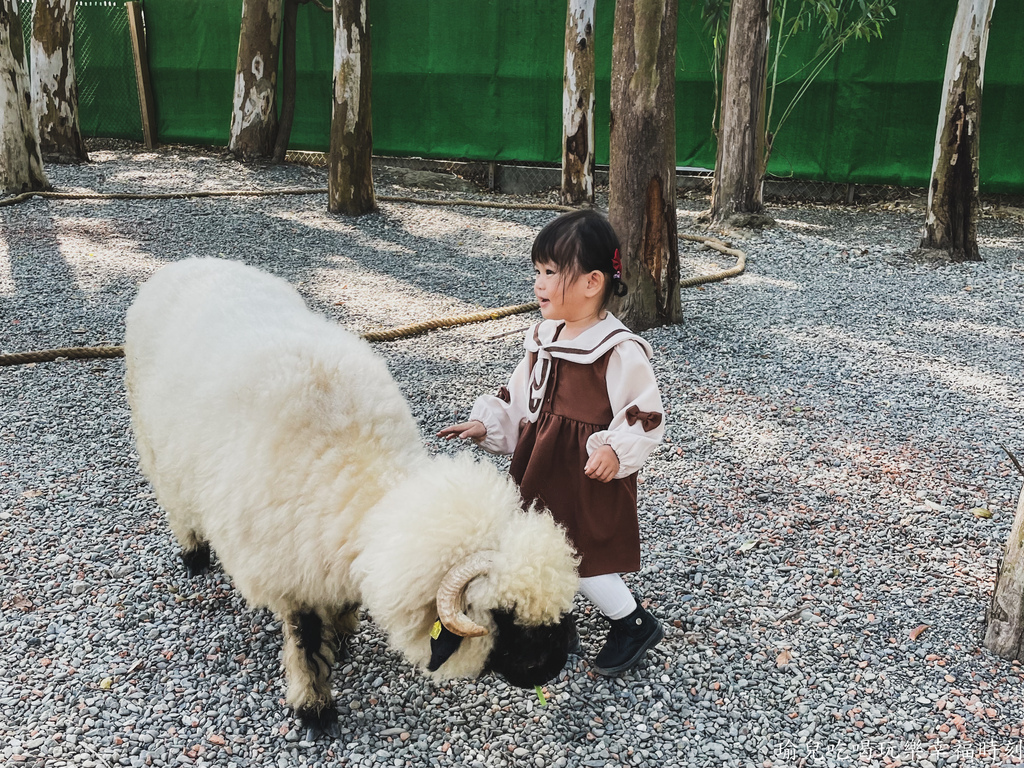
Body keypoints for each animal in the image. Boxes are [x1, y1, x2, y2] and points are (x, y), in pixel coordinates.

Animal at [121, 257, 577, 733]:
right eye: (503, 615)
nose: (557, 664)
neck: (351, 466)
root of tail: (189, 263)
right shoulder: (289, 577)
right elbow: (304, 645)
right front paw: (314, 707)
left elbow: (341, 604)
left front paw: (339, 636)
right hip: (155, 444)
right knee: (176, 503)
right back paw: (194, 554)